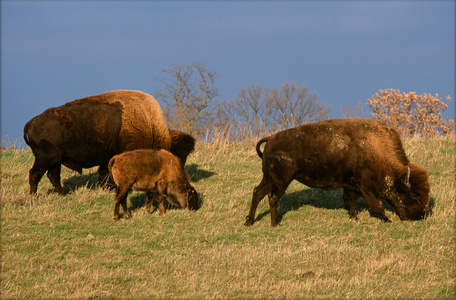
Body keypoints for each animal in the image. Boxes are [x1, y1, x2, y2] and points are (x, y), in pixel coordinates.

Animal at [23, 90, 194, 196]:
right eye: (178, 159)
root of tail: (32, 122)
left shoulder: (106, 161)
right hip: (45, 159)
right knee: (35, 175)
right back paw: (34, 197)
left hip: (55, 161)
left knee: (52, 176)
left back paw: (64, 195)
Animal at [244, 118, 430, 226]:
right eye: (414, 195)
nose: (421, 215)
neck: (376, 148)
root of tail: (270, 139)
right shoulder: (364, 186)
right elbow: (375, 204)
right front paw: (386, 219)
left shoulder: (351, 185)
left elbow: (351, 202)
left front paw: (354, 218)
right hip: (281, 181)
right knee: (272, 197)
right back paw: (275, 223)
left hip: (268, 178)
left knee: (257, 192)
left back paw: (249, 221)